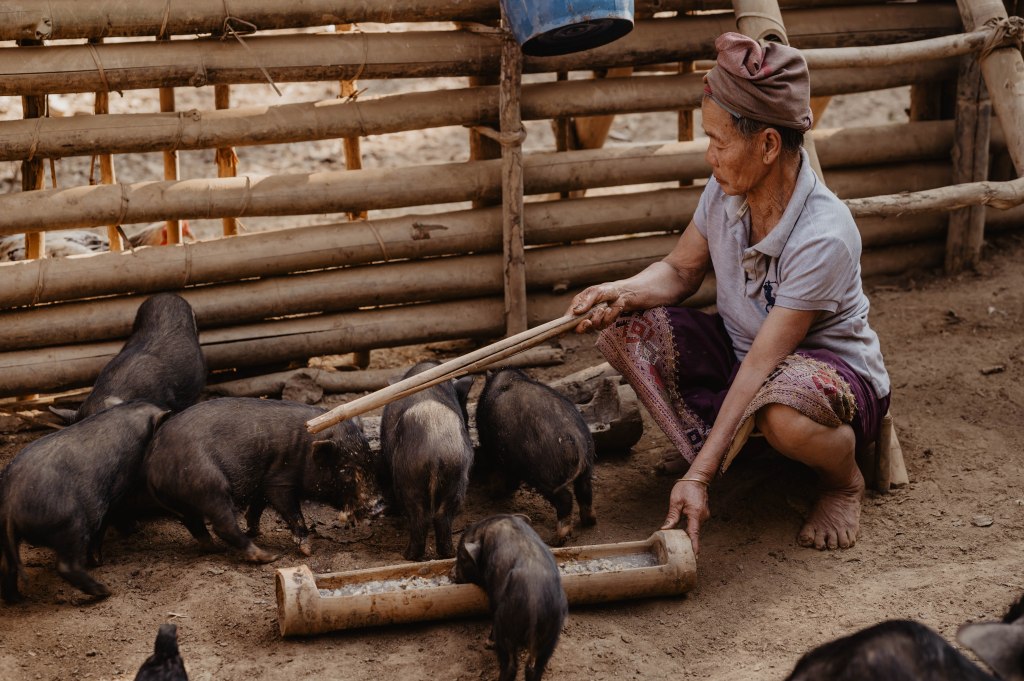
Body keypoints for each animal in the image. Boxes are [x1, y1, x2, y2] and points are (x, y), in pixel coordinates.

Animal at [0, 401, 169, 603]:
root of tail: (10, 502)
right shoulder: (114, 492)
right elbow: (109, 520)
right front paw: (102, 558)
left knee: (7, 566)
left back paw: (17, 599)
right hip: (70, 522)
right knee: (65, 564)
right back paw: (104, 591)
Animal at [143, 397, 375, 563]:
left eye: (370, 460)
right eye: (346, 470)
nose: (374, 503)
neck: (304, 450)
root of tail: (153, 462)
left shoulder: (261, 486)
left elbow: (256, 508)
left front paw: (256, 530)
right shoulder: (278, 482)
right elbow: (292, 512)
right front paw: (308, 551)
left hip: (183, 503)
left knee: (195, 525)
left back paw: (215, 548)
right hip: (209, 485)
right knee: (223, 525)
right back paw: (268, 557)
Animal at [379, 361, 473, 561]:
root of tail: (434, 446)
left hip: (409, 478)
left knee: (420, 518)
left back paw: (408, 556)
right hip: (455, 474)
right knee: (442, 516)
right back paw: (447, 554)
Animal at [452, 514, 567, 681]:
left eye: (461, 557)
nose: (452, 574)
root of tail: (535, 601)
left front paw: (488, 643)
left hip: (507, 624)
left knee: (510, 664)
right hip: (551, 635)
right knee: (536, 668)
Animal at [474, 368, 596, 545]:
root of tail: (576, 440)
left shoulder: (494, 451)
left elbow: (499, 475)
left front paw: (494, 494)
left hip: (545, 475)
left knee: (565, 499)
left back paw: (558, 539)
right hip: (587, 466)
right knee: (585, 490)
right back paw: (589, 521)